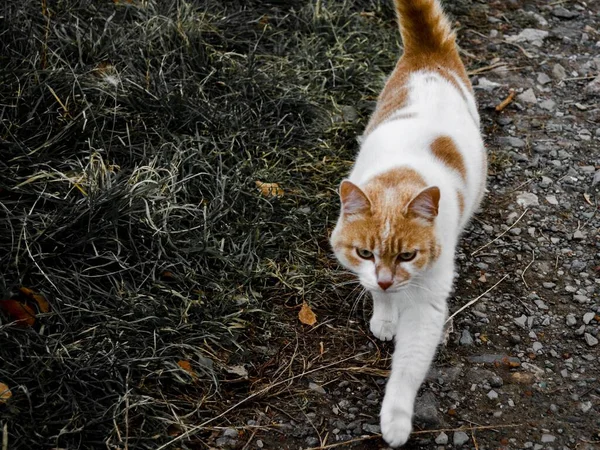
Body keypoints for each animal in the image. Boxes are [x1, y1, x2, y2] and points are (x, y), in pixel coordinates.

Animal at [330, 0, 486, 446]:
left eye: (407, 256)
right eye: (365, 252)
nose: (386, 280)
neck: (400, 178)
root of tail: (428, 53)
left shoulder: (428, 303)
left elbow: (409, 367)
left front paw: (396, 418)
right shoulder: (367, 273)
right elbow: (377, 296)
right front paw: (384, 316)